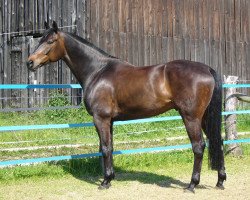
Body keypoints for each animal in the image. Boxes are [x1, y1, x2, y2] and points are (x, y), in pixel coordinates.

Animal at [27, 21, 227, 191]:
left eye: (50, 41)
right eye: (40, 39)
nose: (30, 62)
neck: (98, 71)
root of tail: (206, 69)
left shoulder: (101, 118)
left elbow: (105, 148)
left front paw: (105, 182)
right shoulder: (110, 121)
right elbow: (108, 148)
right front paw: (110, 177)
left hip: (191, 117)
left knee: (198, 146)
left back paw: (192, 184)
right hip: (204, 118)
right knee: (217, 141)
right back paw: (220, 181)